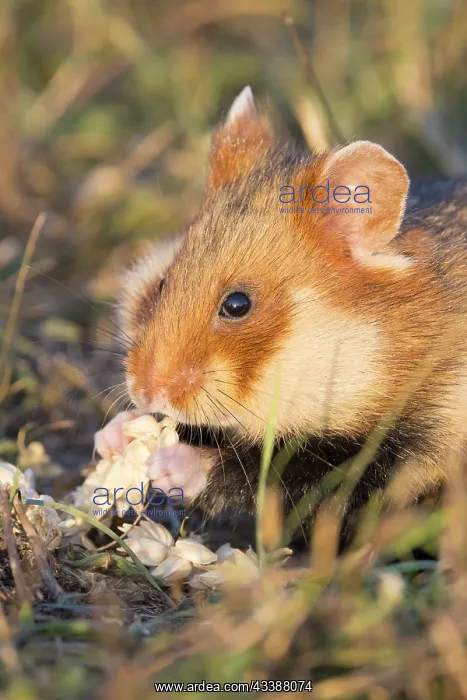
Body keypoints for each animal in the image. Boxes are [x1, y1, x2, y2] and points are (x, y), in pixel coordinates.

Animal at [97, 86, 467, 537]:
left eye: (237, 305)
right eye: (163, 282)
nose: (145, 392)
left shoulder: (410, 445)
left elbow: (284, 473)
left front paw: (171, 462)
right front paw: (114, 435)